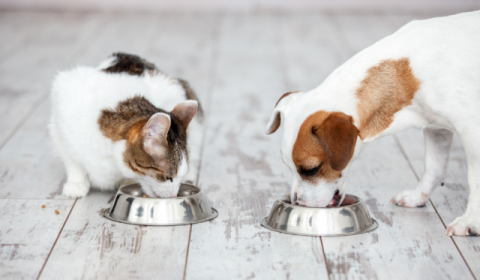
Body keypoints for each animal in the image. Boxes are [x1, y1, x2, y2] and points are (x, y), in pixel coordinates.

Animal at [50, 52, 202, 197]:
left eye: (177, 178)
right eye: (168, 177)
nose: (173, 195)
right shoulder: (60, 116)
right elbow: (71, 160)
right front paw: (76, 183)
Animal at [266, 10, 480, 236]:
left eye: (311, 169)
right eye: (288, 167)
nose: (297, 203)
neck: (408, 73)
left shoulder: (472, 131)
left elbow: (475, 180)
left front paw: (470, 220)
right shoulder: (436, 129)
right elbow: (433, 167)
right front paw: (417, 196)